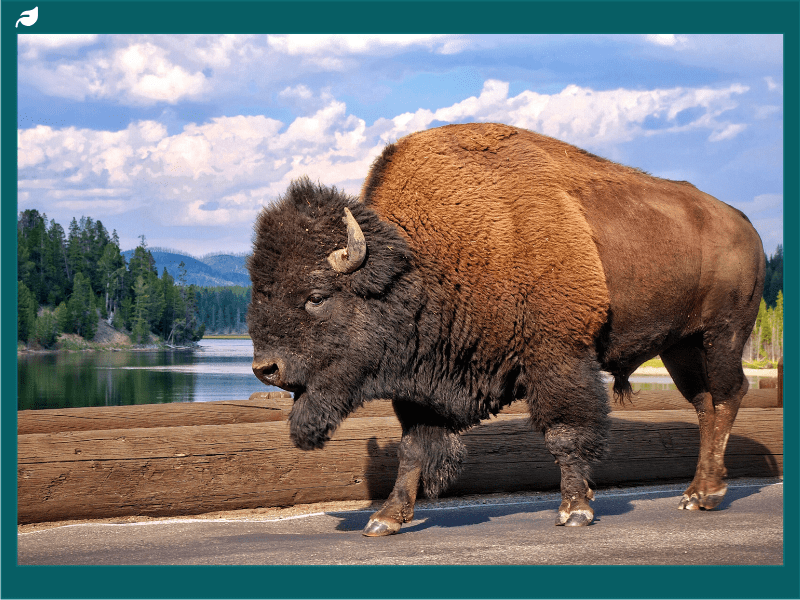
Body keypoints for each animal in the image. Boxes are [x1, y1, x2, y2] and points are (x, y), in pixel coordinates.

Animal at [248, 123, 765, 536]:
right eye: (259, 292)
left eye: (316, 296)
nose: (265, 368)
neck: (418, 265)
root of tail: (745, 225)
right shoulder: (421, 386)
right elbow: (413, 449)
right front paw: (385, 519)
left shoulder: (557, 356)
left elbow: (564, 432)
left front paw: (575, 510)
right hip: (680, 347)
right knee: (704, 404)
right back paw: (695, 492)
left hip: (722, 335)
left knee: (728, 395)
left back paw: (707, 495)